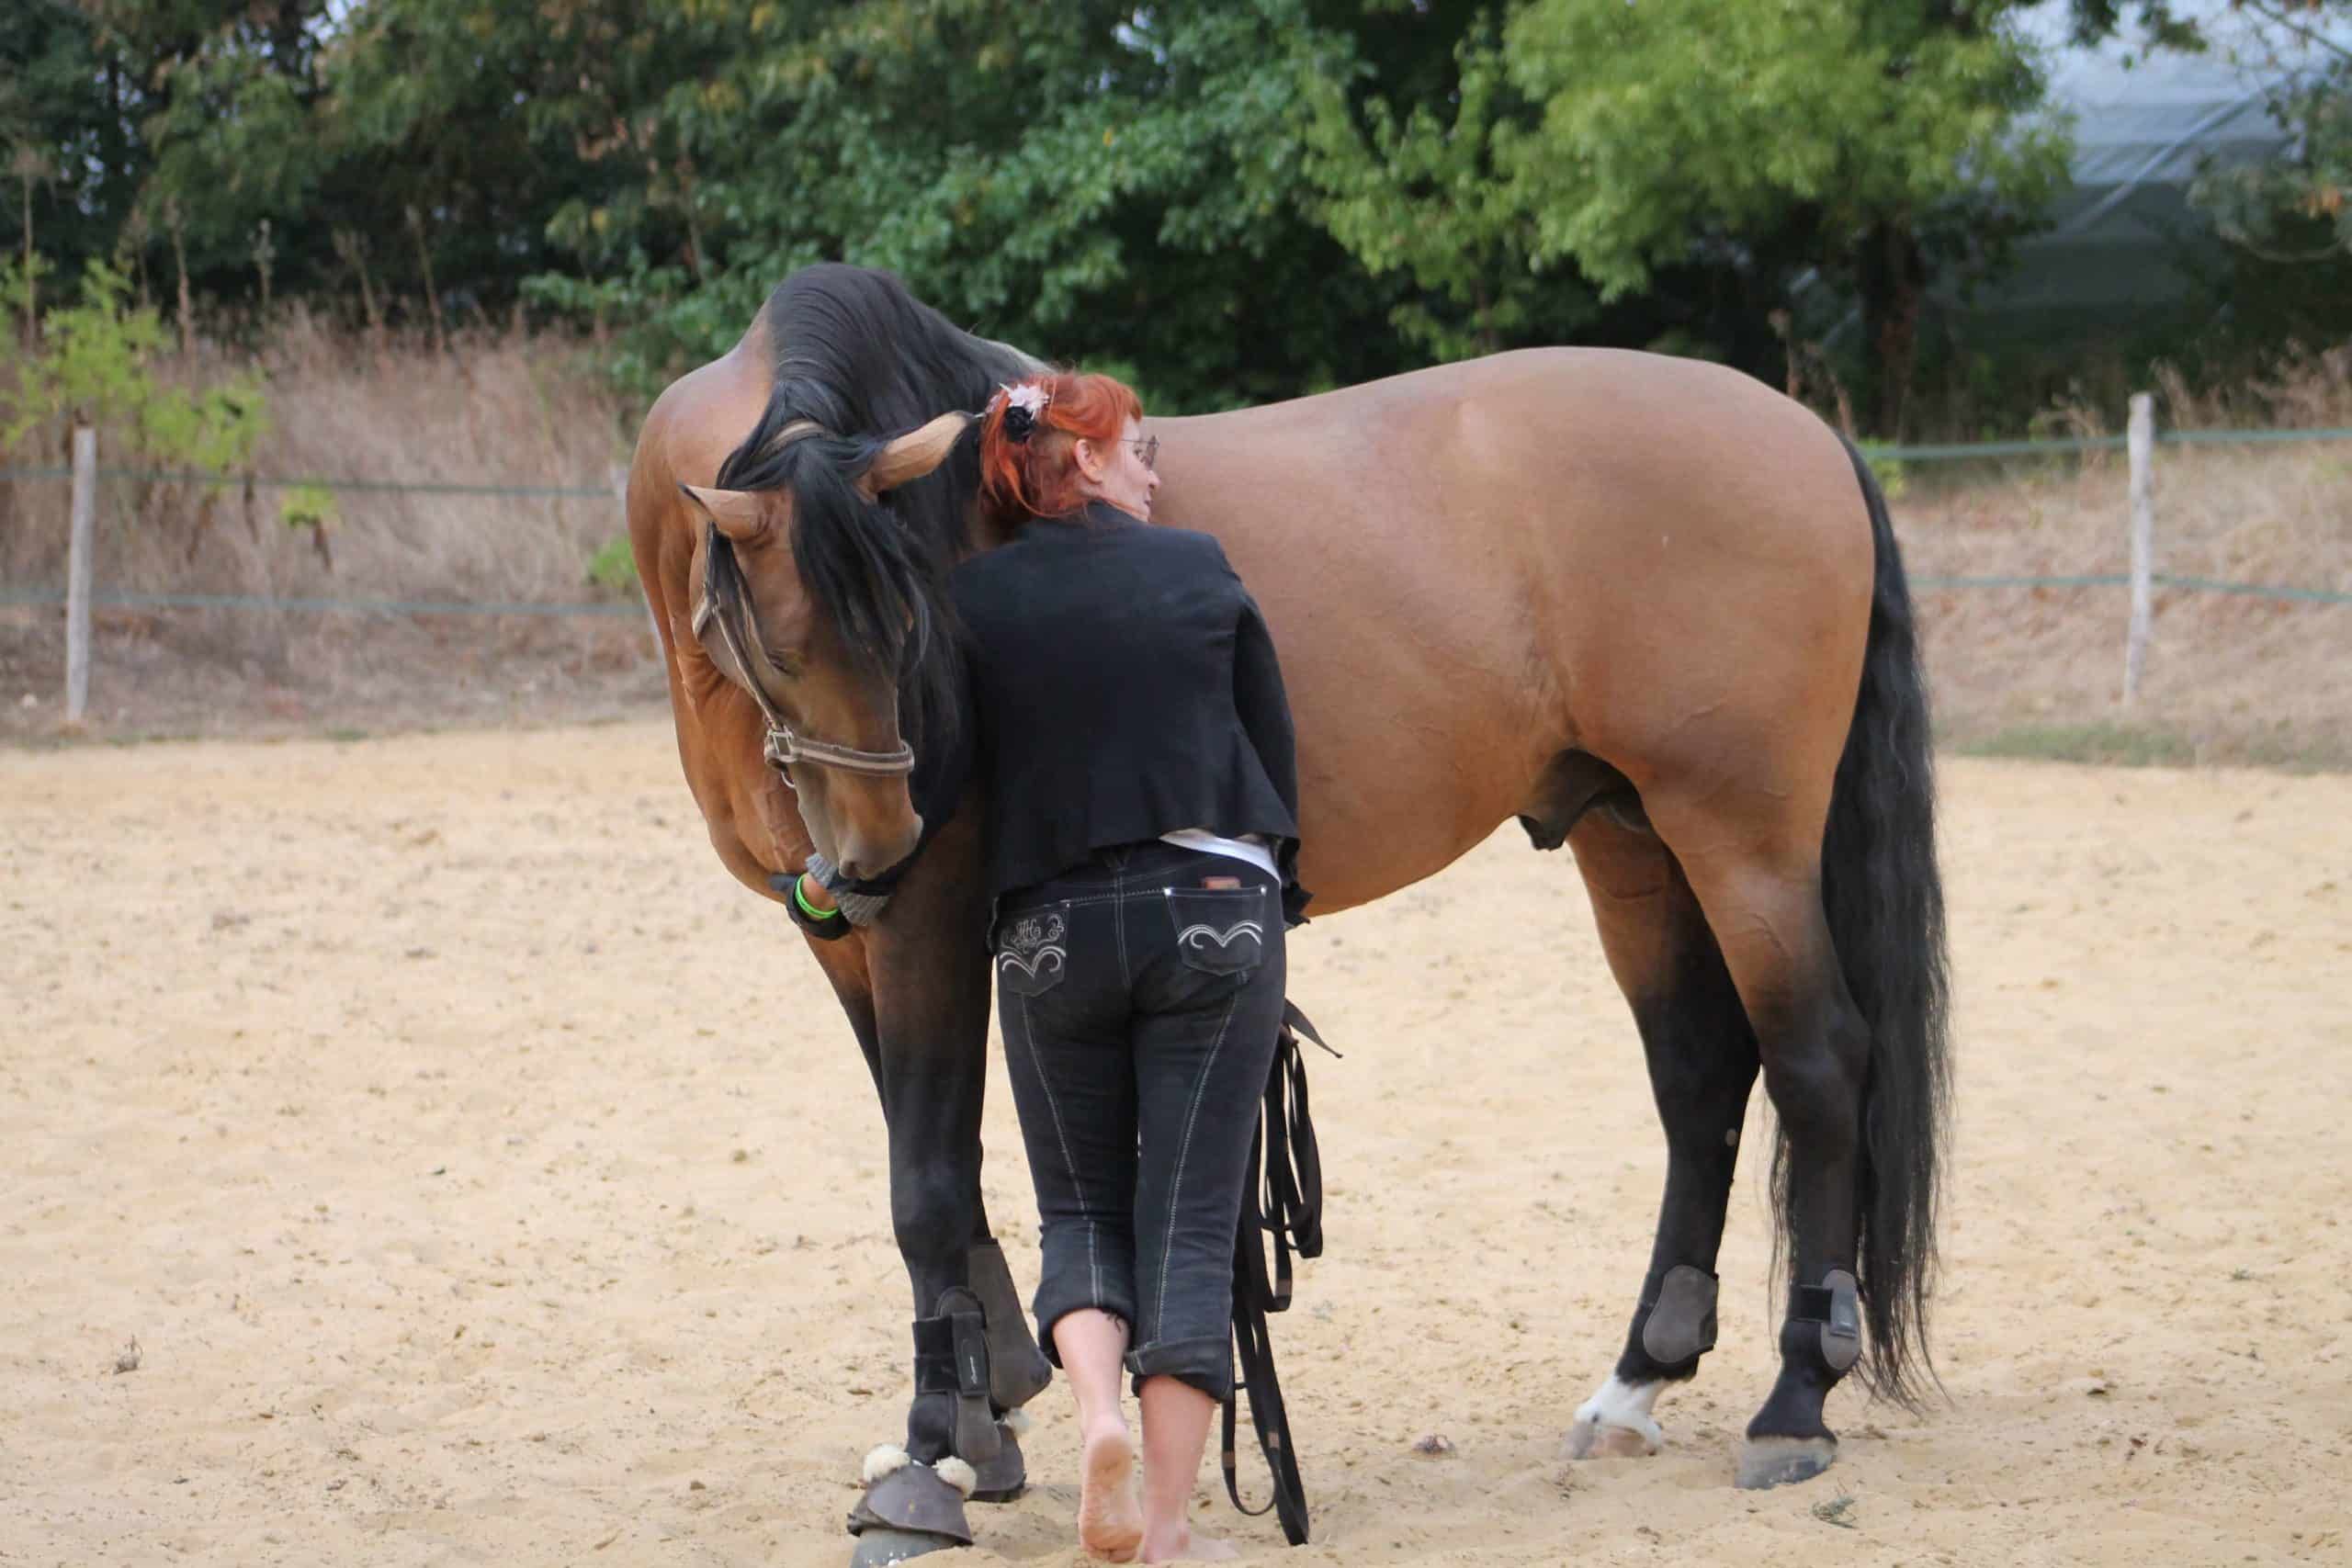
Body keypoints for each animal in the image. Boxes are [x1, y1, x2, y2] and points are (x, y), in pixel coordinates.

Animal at [624, 264, 1949, 1561]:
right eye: (781, 647)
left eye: (911, 624)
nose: (876, 850)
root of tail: (1808, 434)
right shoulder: (849, 943)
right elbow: (926, 1169)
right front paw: (982, 1416)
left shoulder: (931, 923)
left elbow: (930, 1183)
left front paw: (928, 1464)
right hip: (1631, 839)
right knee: (1698, 1078)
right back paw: (1635, 1384)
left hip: (1742, 841)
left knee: (1816, 1064)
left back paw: (1794, 1403)